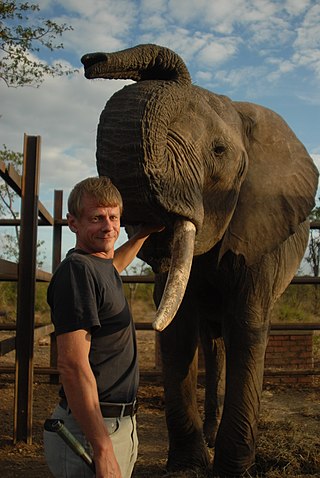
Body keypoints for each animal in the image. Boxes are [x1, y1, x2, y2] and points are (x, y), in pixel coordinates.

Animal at [81, 44, 318, 474]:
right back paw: (208, 434)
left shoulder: (261, 235)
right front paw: (187, 466)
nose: (93, 59)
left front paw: (232, 469)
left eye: (218, 151)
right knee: (212, 347)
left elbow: (247, 326)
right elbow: (177, 331)